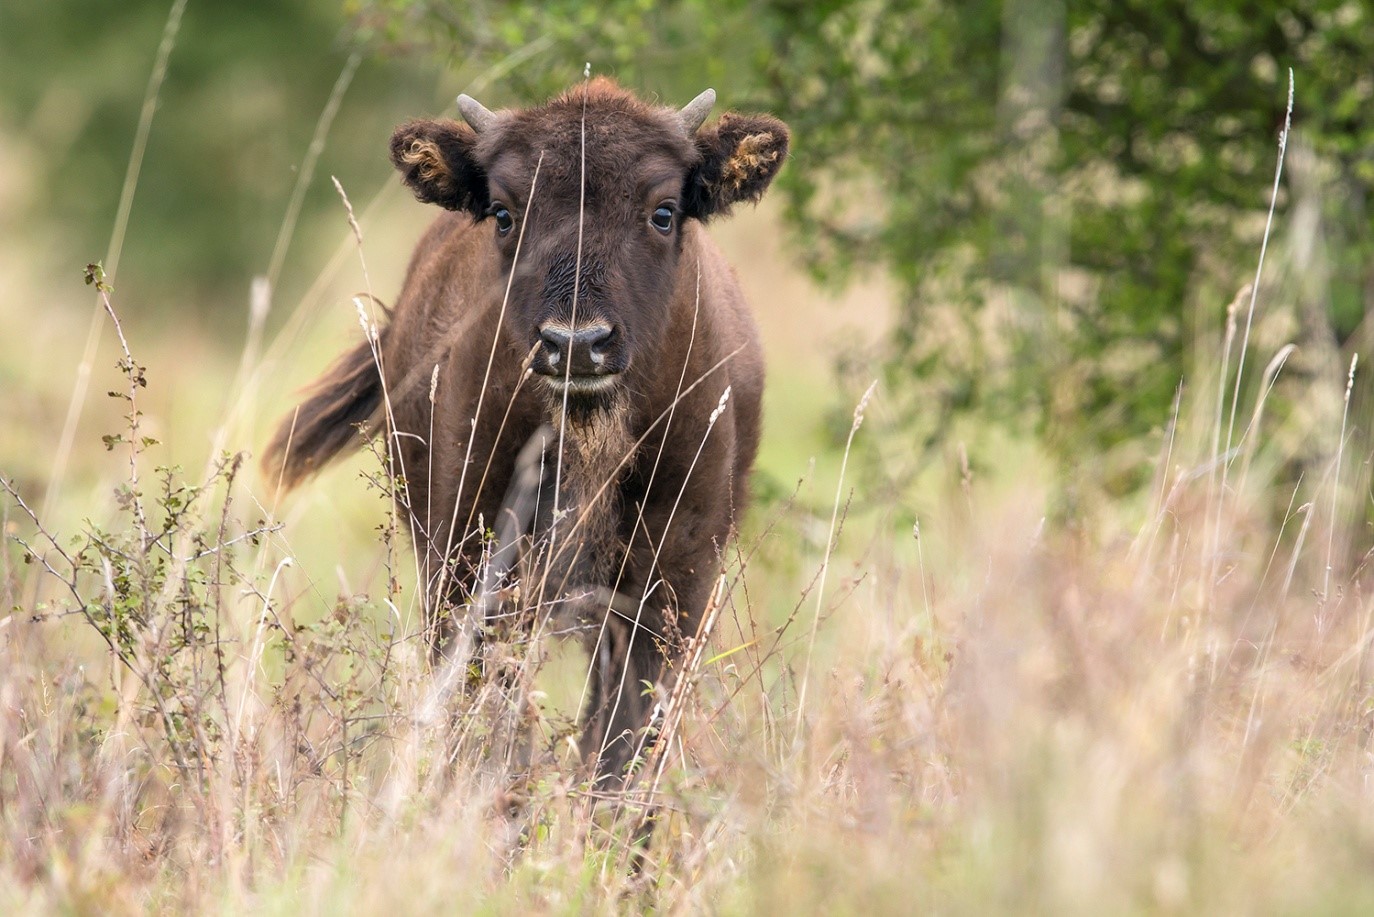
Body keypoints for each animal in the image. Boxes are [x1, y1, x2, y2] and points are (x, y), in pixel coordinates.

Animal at [263, 80, 791, 791]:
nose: (577, 343)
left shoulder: (670, 587)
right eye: (504, 213)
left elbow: (622, 743)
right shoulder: (467, 568)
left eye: (664, 211)